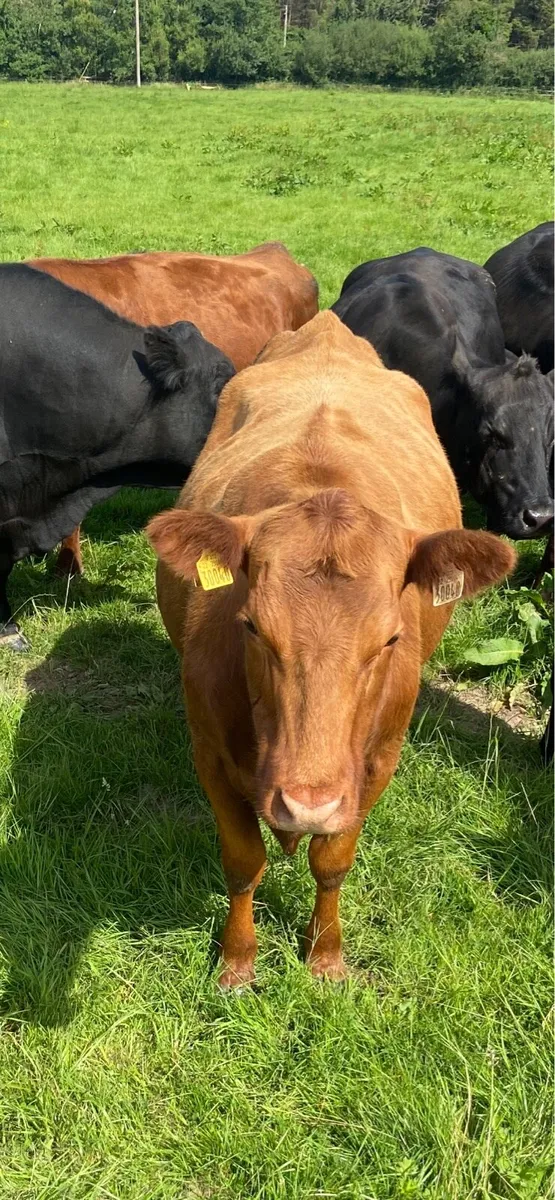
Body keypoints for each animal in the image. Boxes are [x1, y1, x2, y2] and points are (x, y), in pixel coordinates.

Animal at [146, 311, 515, 988]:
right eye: (251, 627)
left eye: (391, 638)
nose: (308, 803)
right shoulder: (209, 752)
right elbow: (243, 861)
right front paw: (237, 961)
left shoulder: (376, 762)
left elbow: (333, 858)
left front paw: (324, 955)